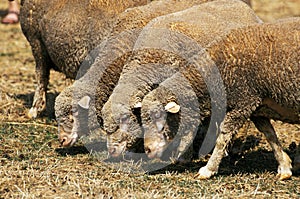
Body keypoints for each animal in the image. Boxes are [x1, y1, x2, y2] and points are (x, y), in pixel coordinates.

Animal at [142, 16, 298, 179]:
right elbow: (269, 134)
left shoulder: (243, 102)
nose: (147, 150)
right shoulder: (257, 106)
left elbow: (223, 138)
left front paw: (208, 169)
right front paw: (284, 167)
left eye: (159, 117)